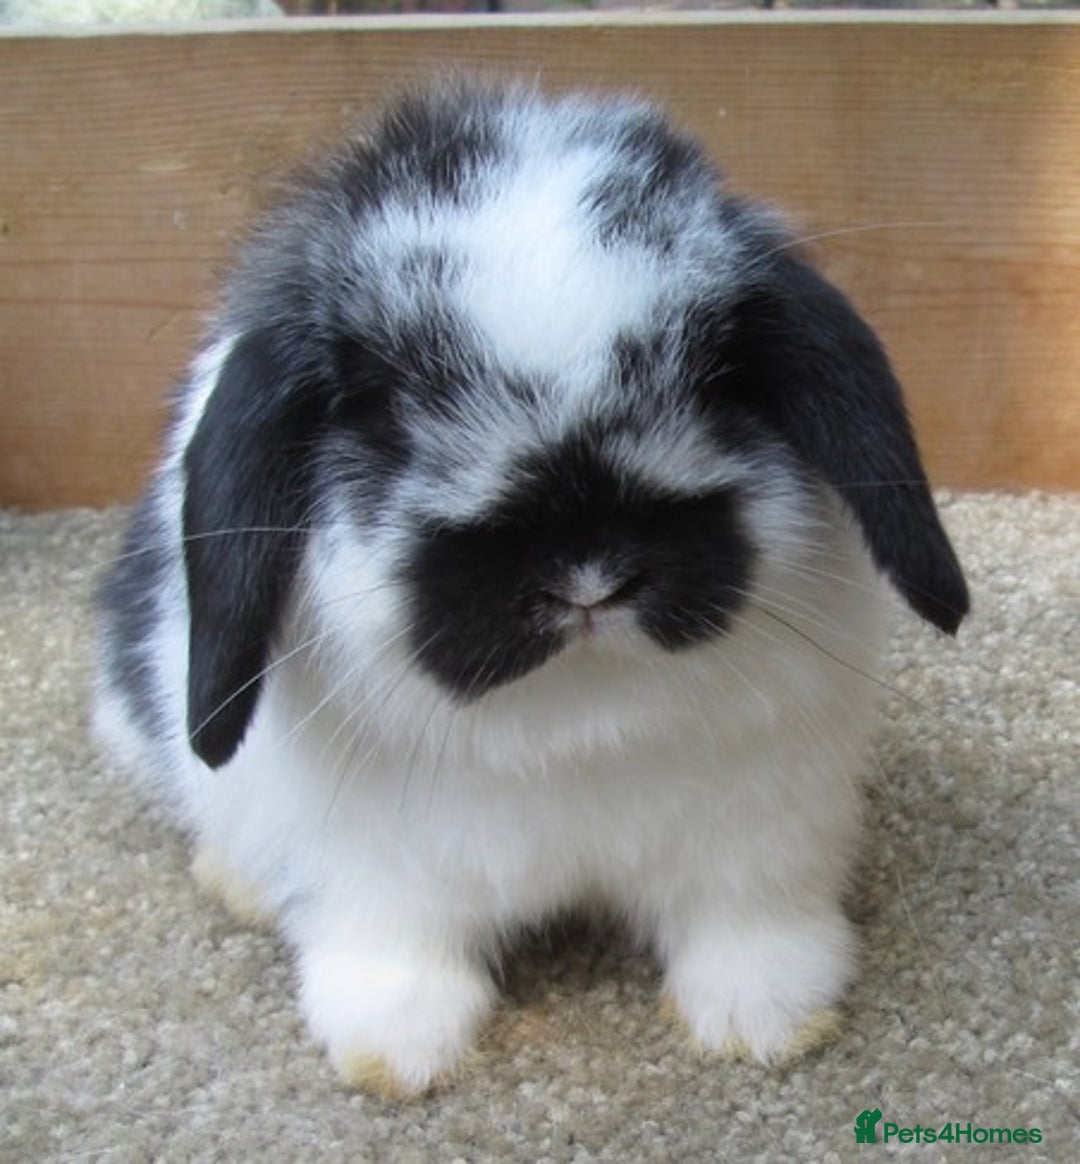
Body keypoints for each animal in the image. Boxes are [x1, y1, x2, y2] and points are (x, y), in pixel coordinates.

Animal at [94, 80, 969, 1097]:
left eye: (719, 376)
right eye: (381, 409)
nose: (583, 571)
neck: (573, 712)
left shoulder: (761, 831)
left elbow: (745, 922)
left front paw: (766, 1020)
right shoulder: (375, 868)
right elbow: (393, 946)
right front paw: (397, 1053)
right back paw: (236, 883)